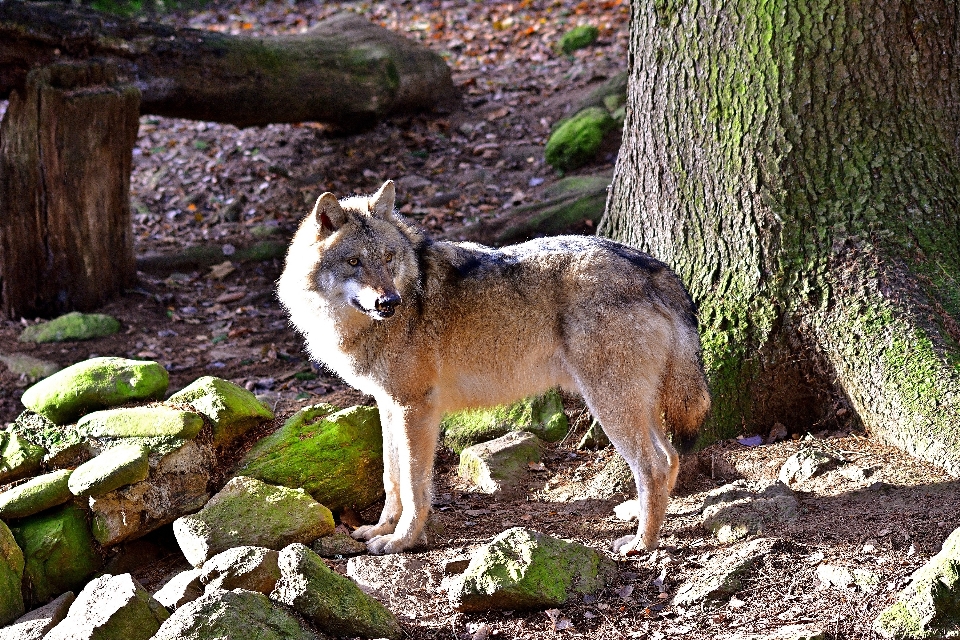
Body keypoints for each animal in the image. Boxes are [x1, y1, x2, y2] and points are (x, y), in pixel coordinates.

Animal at [274, 180, 708, 556]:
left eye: (387, 258)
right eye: (354, 261)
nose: (389, 302)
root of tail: (654, 267)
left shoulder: (416, 408)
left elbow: (415, 486)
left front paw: (402, 541)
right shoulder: (388, 405)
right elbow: (391, 476)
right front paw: (380, 528)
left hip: (609, 403)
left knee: (652, 466)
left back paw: (642, 543)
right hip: (634, 402)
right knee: (670, 457)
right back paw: (638, 514)